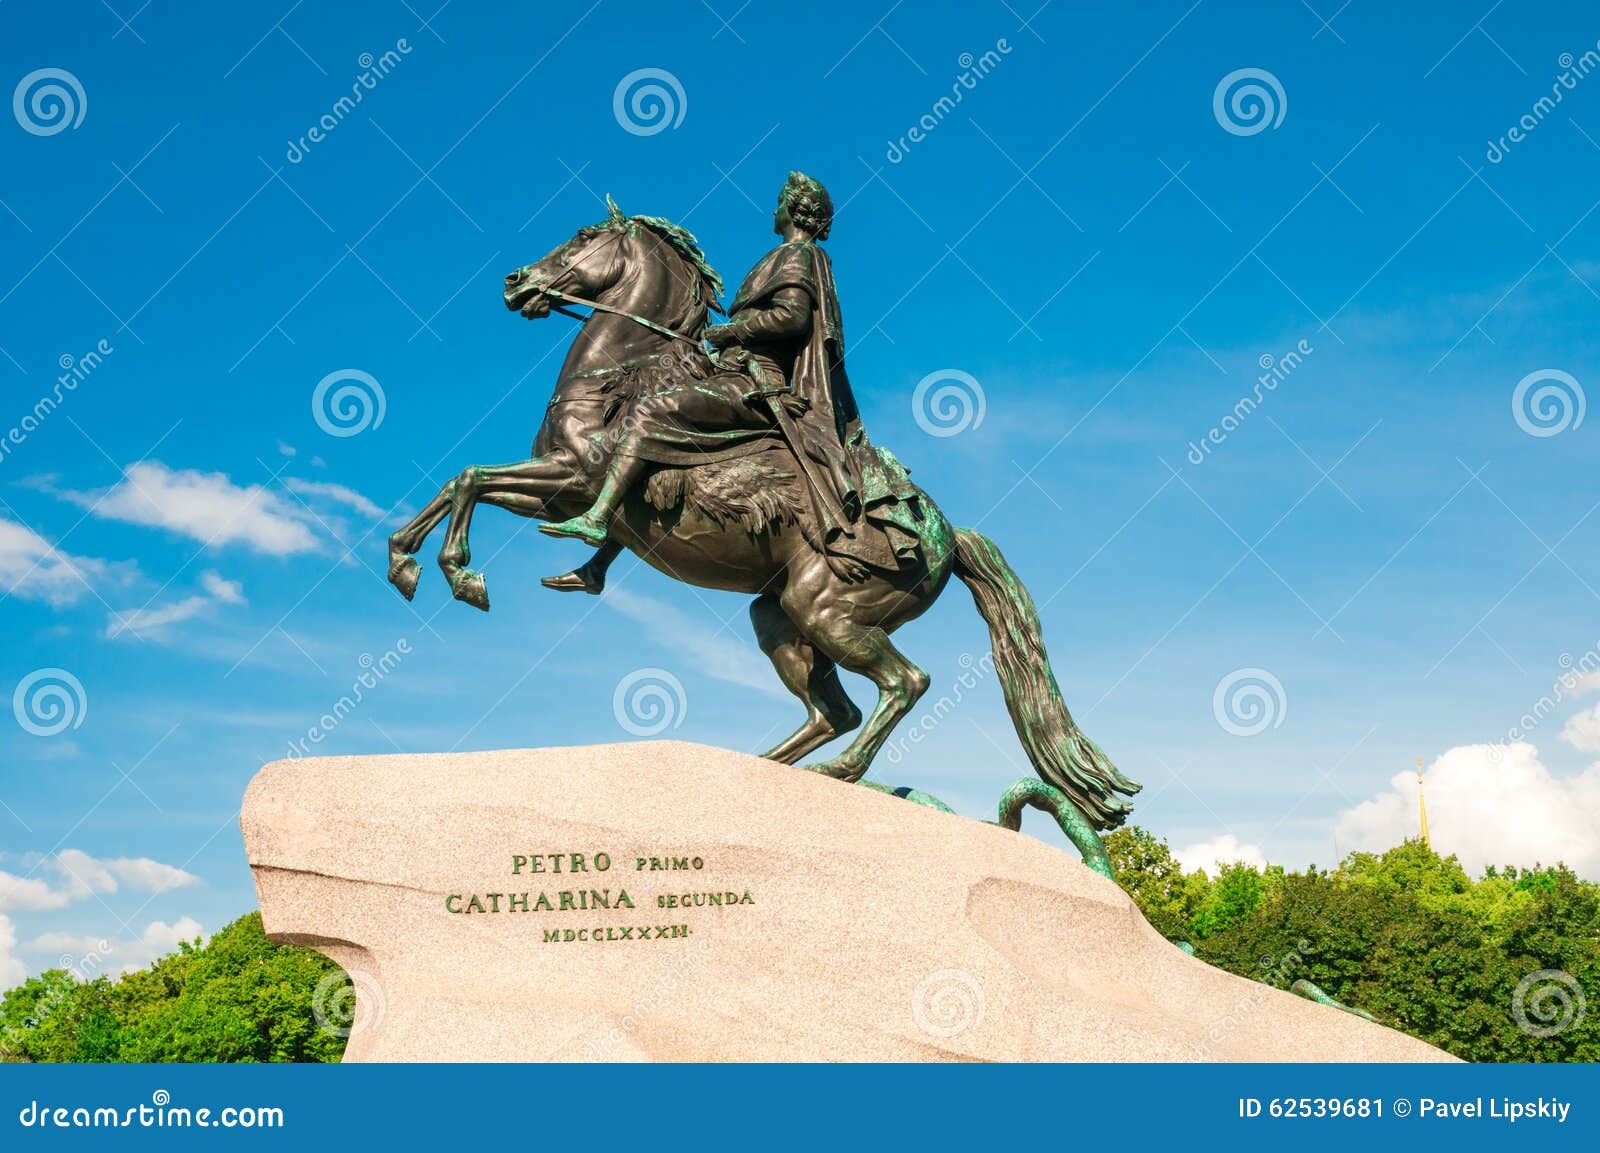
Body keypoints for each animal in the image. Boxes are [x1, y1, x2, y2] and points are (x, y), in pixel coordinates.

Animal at [385, 204, 1139, 825]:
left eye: (582, 236)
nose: (516, 283)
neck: (620, 377)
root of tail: (947, 536)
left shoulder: (577, 477)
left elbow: (476, 482)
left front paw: (459, 572)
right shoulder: (553, 485)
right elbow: (462, 482)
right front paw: (406, 561)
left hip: (826, 609)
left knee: (903, 683)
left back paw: (838, 771)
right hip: (780, 616)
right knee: (835, 708)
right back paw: (766, 769)